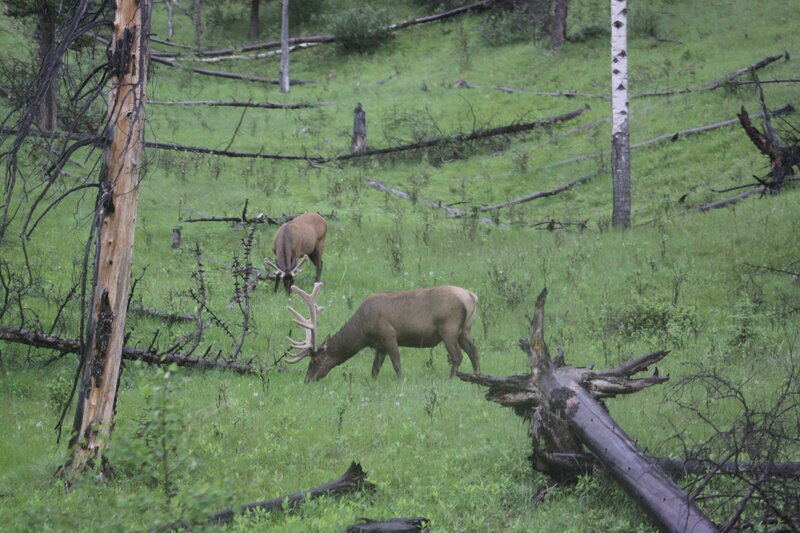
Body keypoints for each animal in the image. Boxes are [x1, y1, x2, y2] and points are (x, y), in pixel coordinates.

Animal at [282, 283, 480, 383]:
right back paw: (477, 377)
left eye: (315, 360)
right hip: (465, 329)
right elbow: (375, 369)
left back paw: (451, 379)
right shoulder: (380, 345)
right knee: (474, 351)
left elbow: (397, 364)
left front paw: (401, 381)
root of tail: (471, 296)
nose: (307, 380)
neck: (362, 332)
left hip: (449, 328)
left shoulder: (389, 334)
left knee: (457, 356)